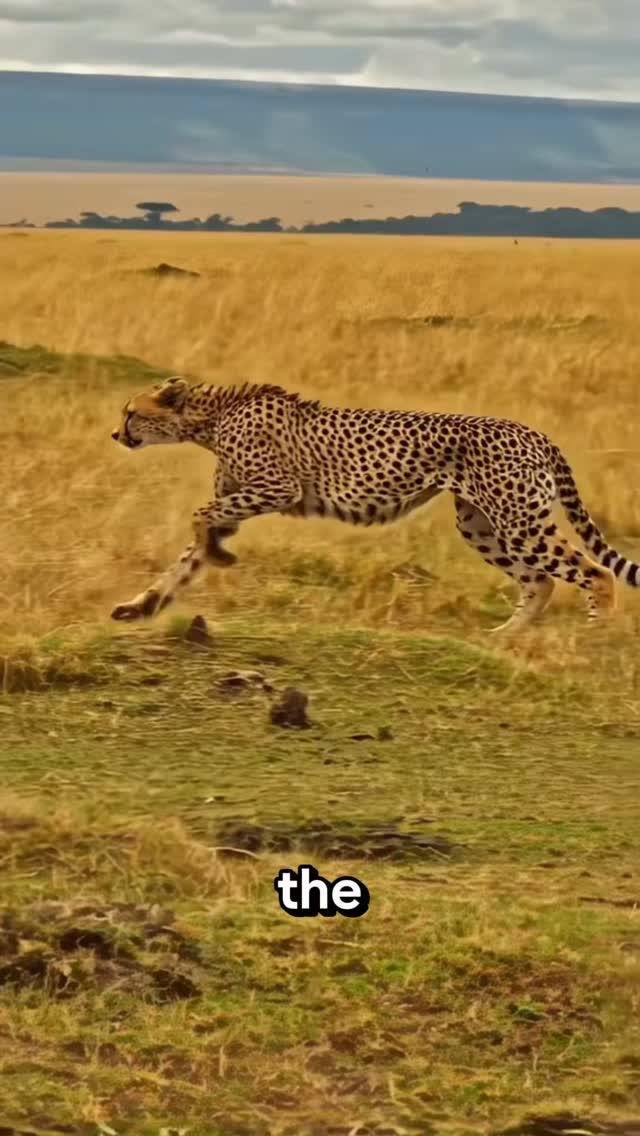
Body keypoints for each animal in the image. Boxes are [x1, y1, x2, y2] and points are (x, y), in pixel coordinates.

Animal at [110, 375, 639, 632]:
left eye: (131, 413)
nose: (116, 434)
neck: (212, 416)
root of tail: (532, 431)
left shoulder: (276, 488)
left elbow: (199, 518)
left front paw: (217, 554)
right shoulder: (238, 498)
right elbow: (186, 557)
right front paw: (144, 605)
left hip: (517, 522)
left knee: (595, 572)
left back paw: (595, 635)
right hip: (481, 525)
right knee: (540, 581)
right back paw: (505, 636)